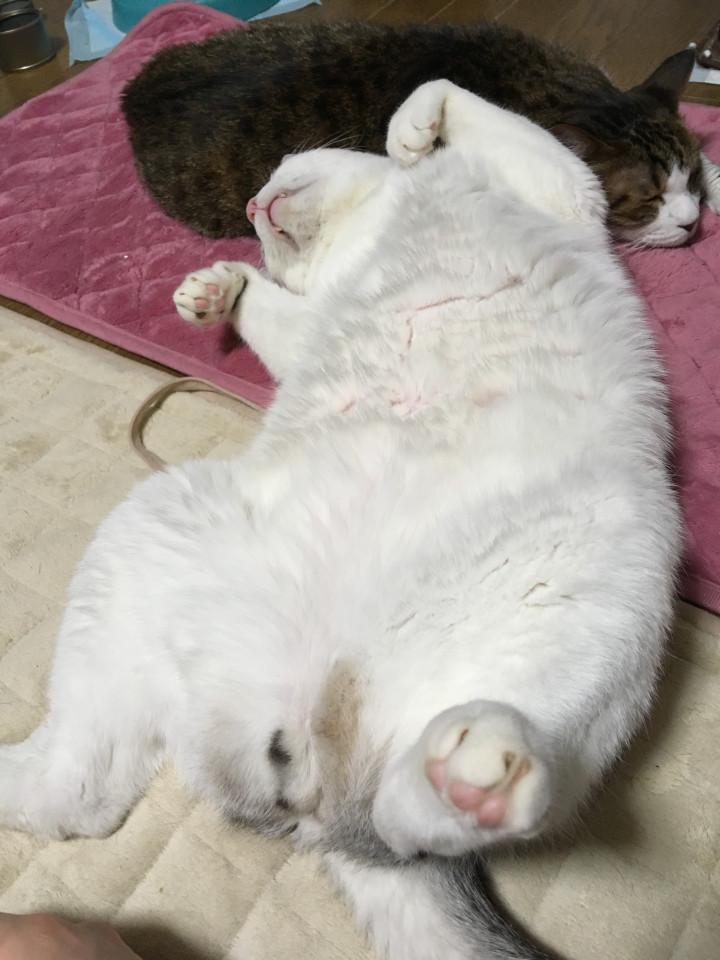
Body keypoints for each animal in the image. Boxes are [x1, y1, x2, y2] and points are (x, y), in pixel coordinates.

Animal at [1, 81, 680, 960]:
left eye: (273, 171)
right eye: (255, 208)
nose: (252, 203)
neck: (373, 227)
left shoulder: (556, 185)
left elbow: (447, 98)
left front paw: (411, 135)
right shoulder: (524, 198)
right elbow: (285, 303)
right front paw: (216, 289)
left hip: (582, 601)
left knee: (397, 819)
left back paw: (474, 771)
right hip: (148, 537)